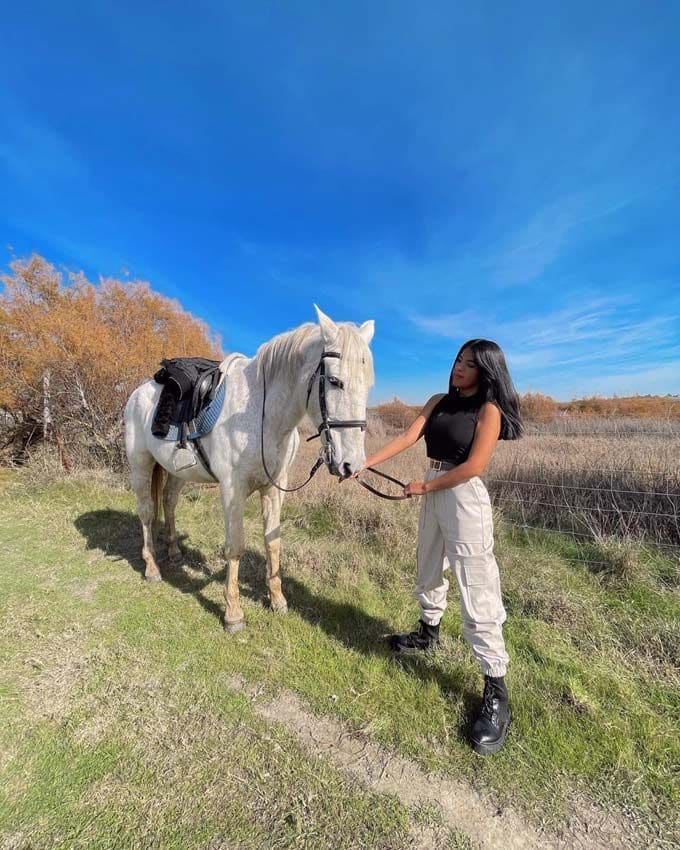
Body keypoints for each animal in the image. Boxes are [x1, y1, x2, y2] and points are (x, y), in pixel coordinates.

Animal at [125, 304, 374, 628]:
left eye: (368, 385)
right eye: (334, 381)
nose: (351, 465)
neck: (261, 415)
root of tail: (139, 392)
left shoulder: (273, 489)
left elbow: (273, 542)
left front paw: (277, 600)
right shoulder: (233, 490)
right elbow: (235, 546)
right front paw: (233, 612)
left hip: (177, 470)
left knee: (168, 502)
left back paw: (174, 552)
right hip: (141, 465)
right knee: (146, 512)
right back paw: (152, 567)